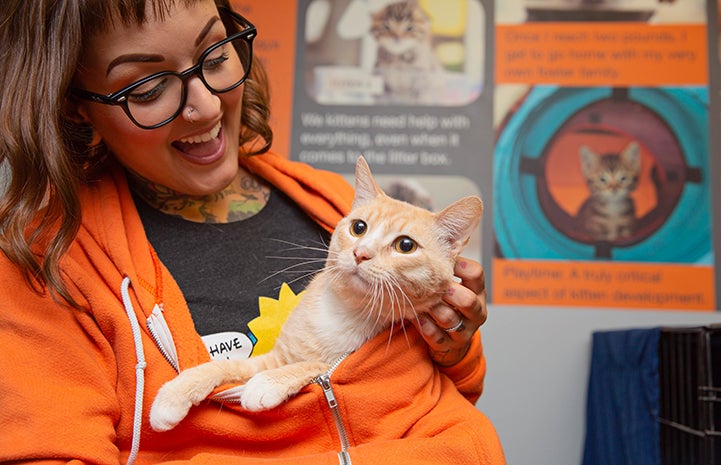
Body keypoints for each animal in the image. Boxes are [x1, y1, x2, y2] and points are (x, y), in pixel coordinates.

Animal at [149, 156, 480, 432]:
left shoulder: (335, 360)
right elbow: (226, 366)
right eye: (359, 227)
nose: (361, 253)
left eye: (406, 246)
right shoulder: (271, 358)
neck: (344, 310)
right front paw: (175, 393)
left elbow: (315, 366)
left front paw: (266, 383)